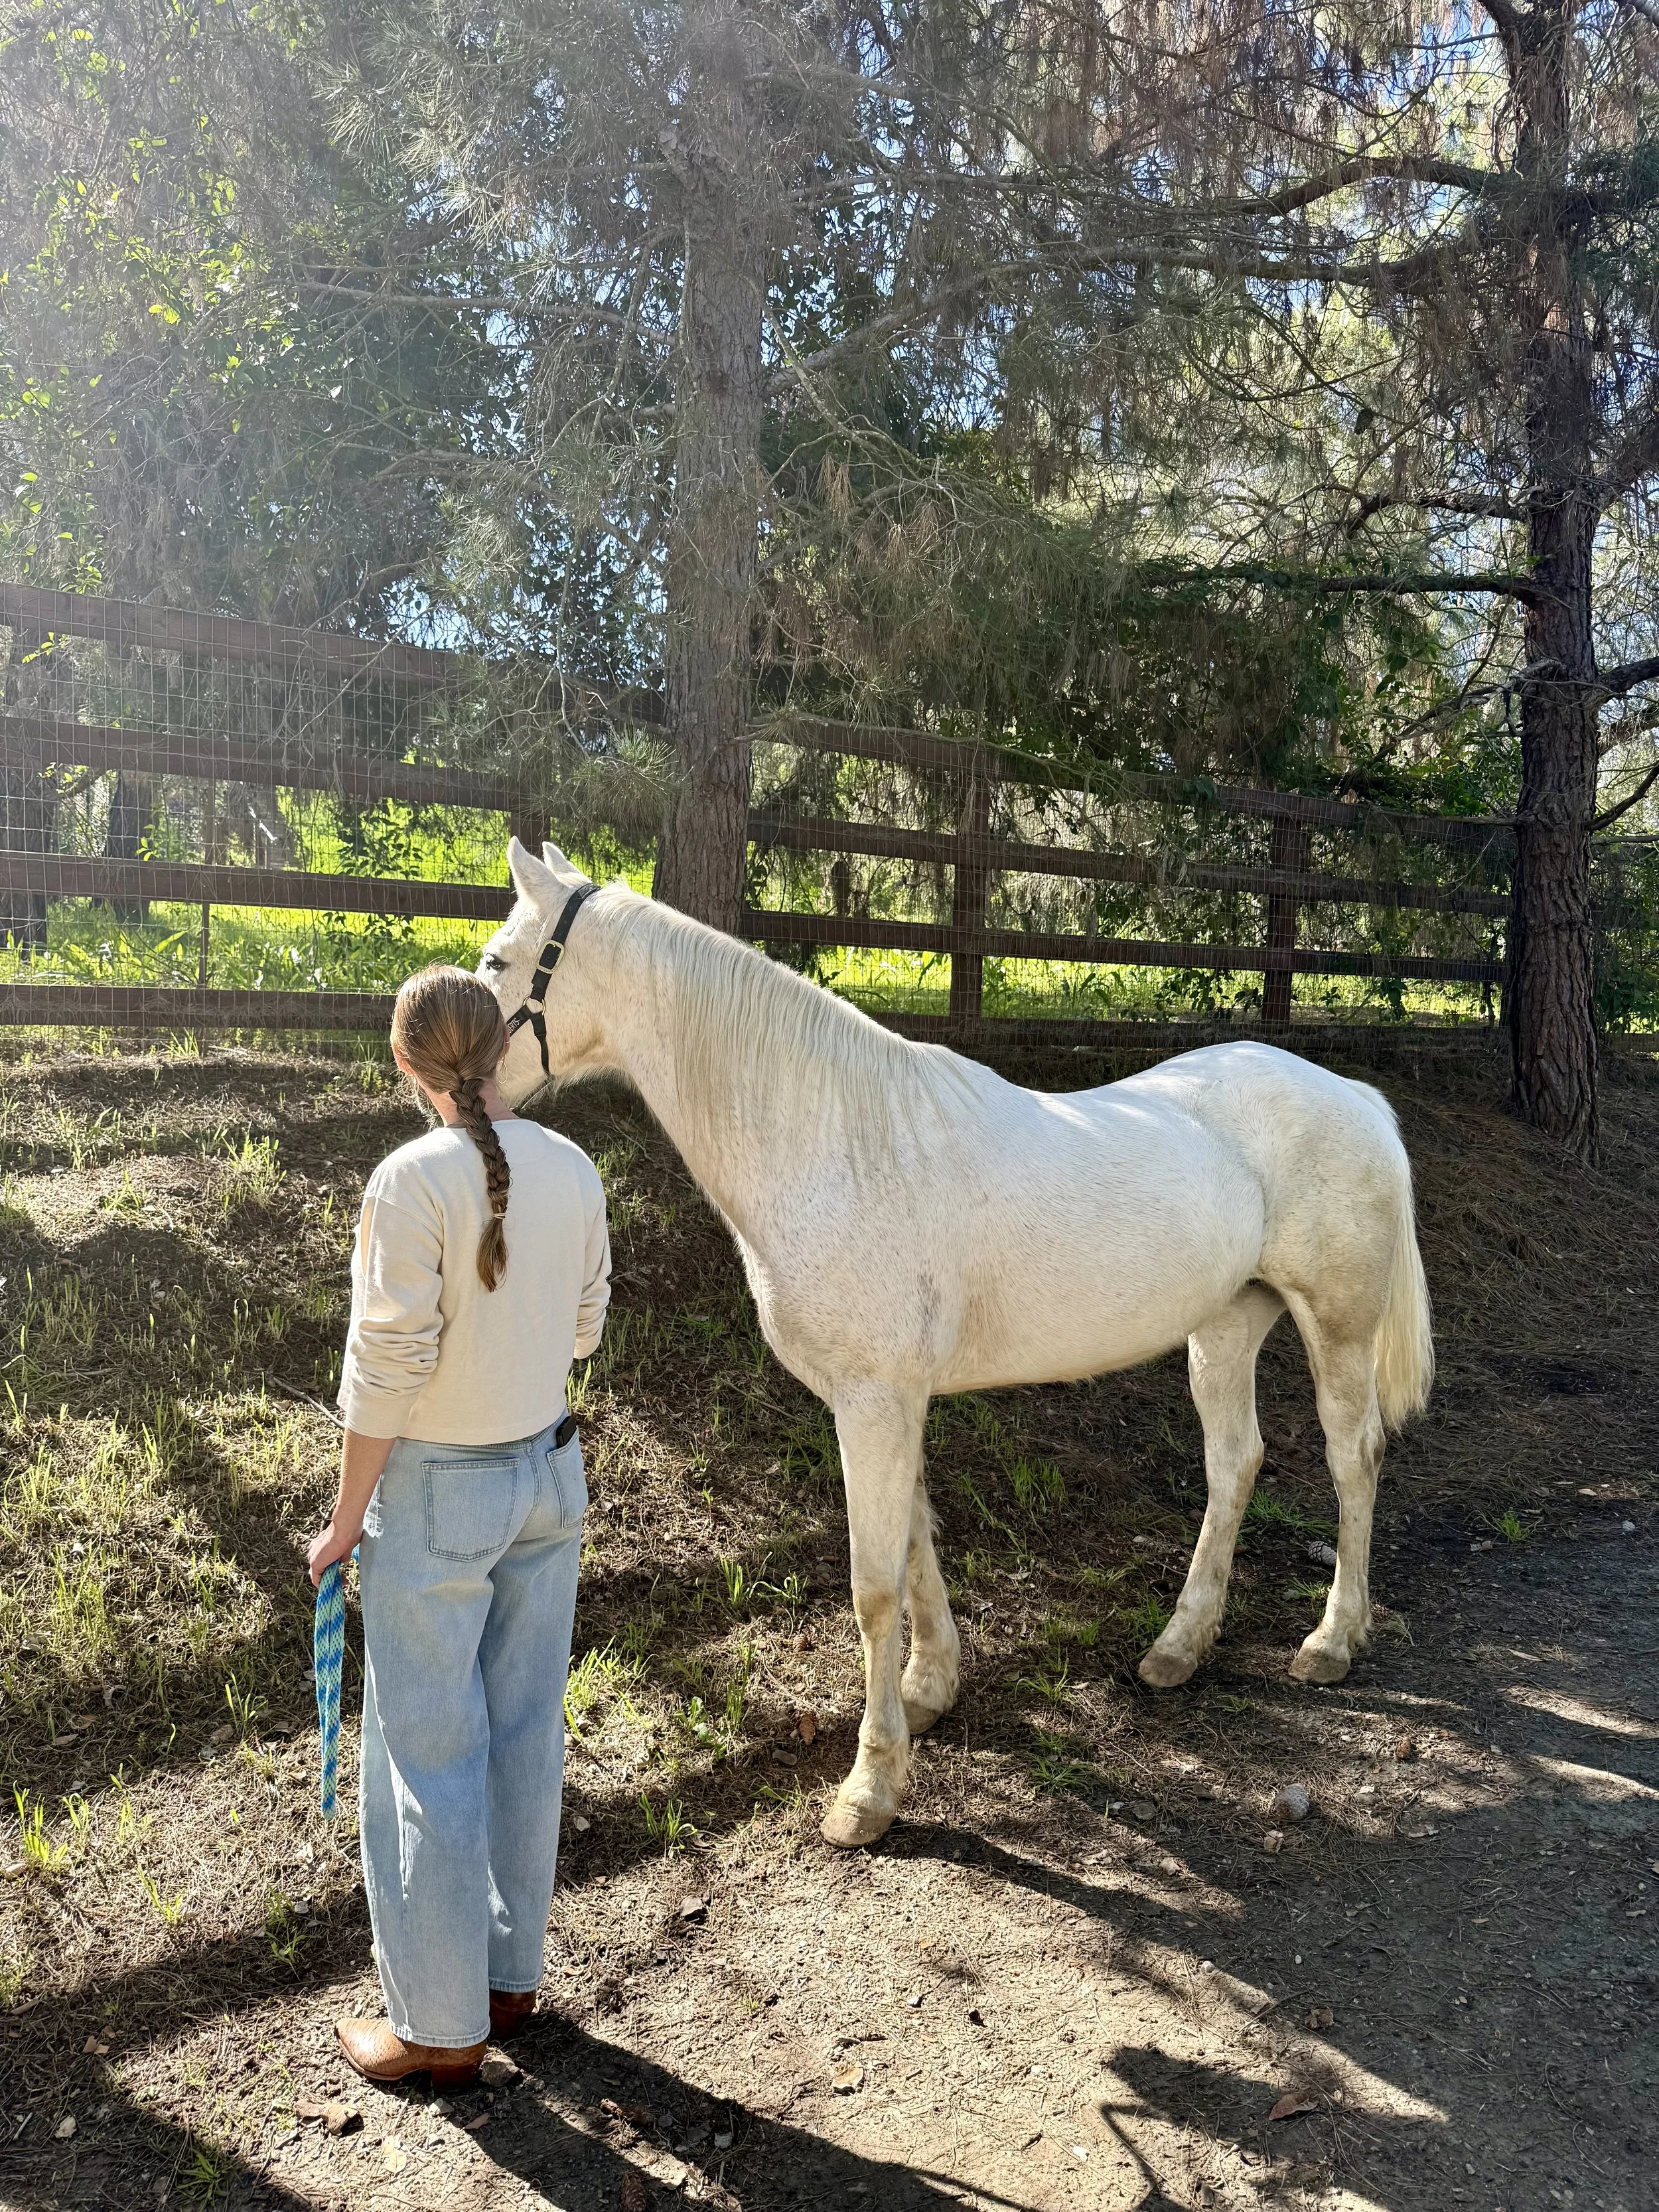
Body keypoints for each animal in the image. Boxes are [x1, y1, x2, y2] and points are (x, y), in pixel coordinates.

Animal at [479, 839, 1434, 1848]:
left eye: (499, 961)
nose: (432, 1084)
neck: (838, 1143)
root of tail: (1352, 1096)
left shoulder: (874, 1402)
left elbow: (873, 1584)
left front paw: (869, 1789)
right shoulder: (885, 1402)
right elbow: (915, 1542)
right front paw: (930, 1688)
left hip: (1336, 1326)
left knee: (1353, 1457)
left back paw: (1331, 1640)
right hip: (1224, 1328)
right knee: (1234, 1464)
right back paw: (1179, 1646)